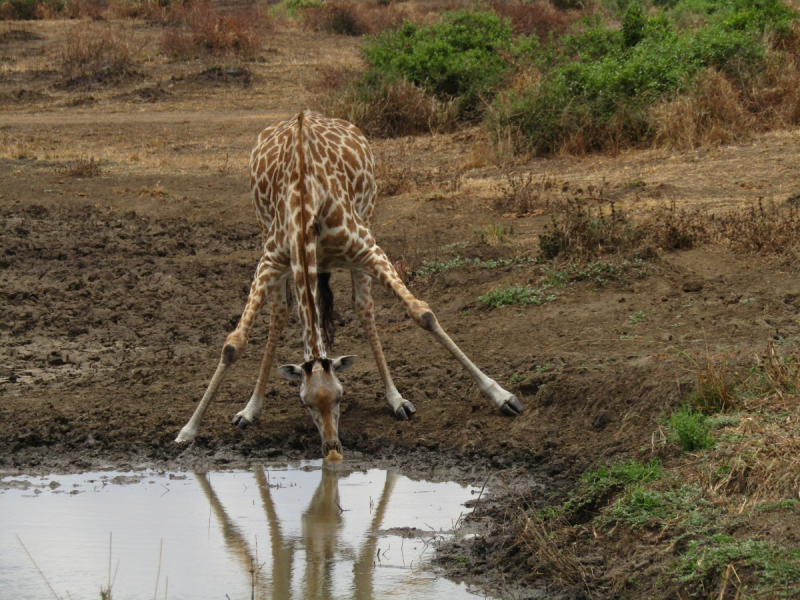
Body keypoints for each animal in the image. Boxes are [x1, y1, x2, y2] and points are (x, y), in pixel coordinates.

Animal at [175, 111, 520, 454]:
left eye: (341, 396)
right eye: (305, 402)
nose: (332, 446)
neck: (305, 199)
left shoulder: (367, 248)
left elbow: (422, 313)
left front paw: (502, 396)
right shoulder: (270, 259)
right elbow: (233, 344)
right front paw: (189, 429)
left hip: (366, 220)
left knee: (363, 307)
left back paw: (396, 399)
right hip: (266, 233)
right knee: (281, 312)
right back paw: (251, 408)